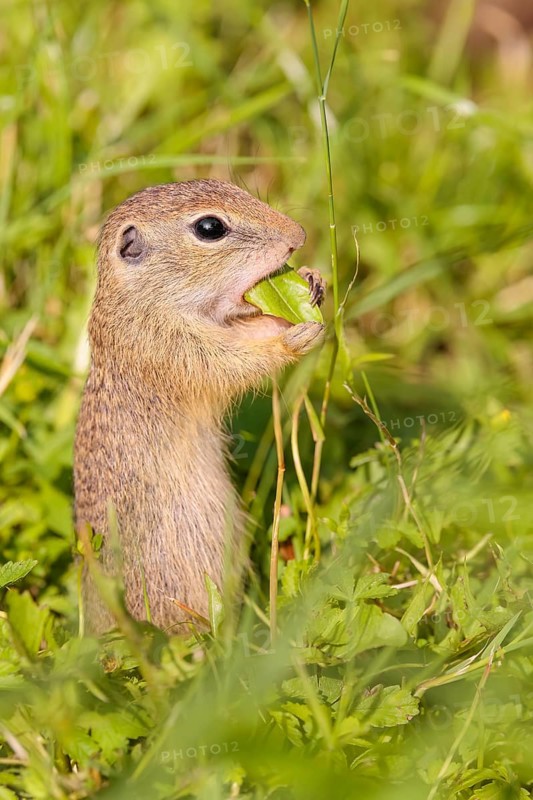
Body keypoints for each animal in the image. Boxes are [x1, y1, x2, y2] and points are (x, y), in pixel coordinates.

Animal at [74, 179, 325, 632]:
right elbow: (232, 361)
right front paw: (291, 339)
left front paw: (312, 281)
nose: (298, 236)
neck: (140, 300)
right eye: (210, 228)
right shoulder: (170, 347)